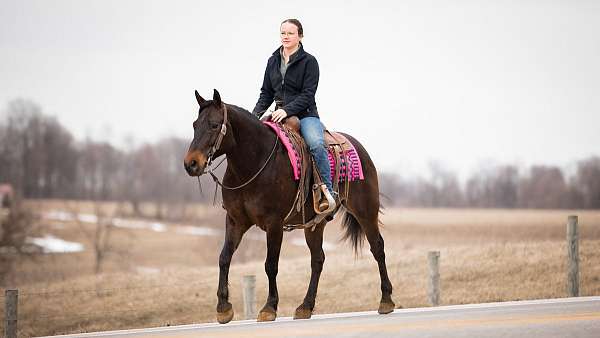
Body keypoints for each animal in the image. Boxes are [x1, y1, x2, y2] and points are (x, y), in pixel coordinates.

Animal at [185, 90, 396, 324]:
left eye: (214, 125)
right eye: (195, 125)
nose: (191, 163)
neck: (254, 163)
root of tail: (356, 146)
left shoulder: (274, 224)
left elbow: (270, 265)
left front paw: (269, 307)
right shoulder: (235, 221)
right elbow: (224, 258)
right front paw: (223, 308)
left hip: (365, 211)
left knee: (377, 248)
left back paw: (386, 300)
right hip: (315, 224)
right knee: (318, 259)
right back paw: (305, 306)